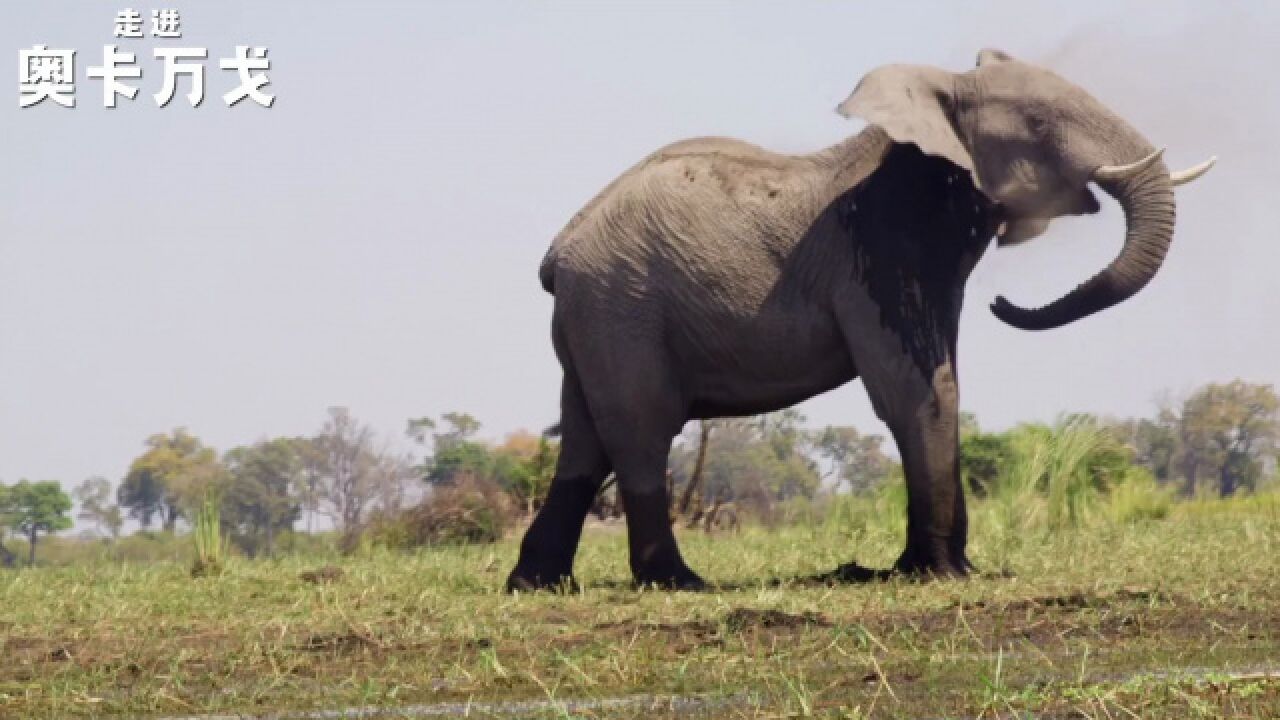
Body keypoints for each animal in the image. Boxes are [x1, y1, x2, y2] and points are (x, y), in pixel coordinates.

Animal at [504, 49, 1213, 589]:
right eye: (1039, 121)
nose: (1003, 306)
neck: (938, 100)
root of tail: (559, 250)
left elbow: (942, 378)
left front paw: (958, 569)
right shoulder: (883, 247)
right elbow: (919, 389)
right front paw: (936, 574)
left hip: (597, 316)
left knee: (586, 437)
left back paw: (539, 585)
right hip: (621, 304)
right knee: (642, 429)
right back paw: (677, 583)